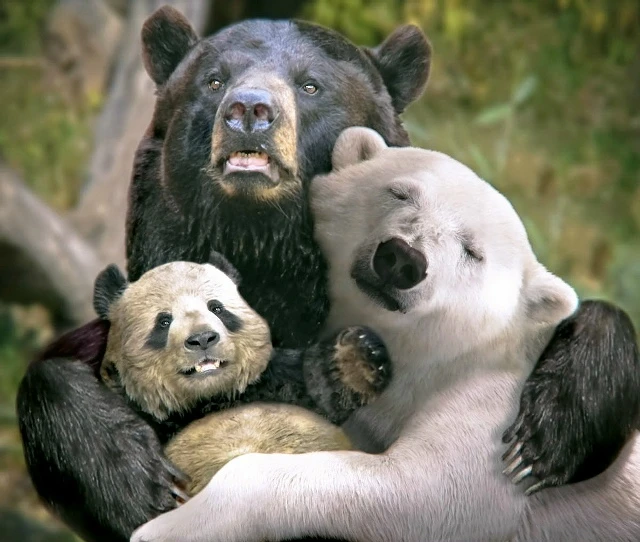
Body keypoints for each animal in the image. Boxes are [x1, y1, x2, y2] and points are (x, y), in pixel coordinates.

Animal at [94, 258, 390, 497]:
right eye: (164, 321)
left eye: (217, 308)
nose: (202, 339)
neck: (208, 398)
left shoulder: (272, 383)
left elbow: (321, 387)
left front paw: (363, 355)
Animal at [131, 127, 640, 542]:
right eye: (399, 193)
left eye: (472, 251)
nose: (402, 258)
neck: (427, 355)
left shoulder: (493, 406)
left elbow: (428, 490)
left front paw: (168, 528)